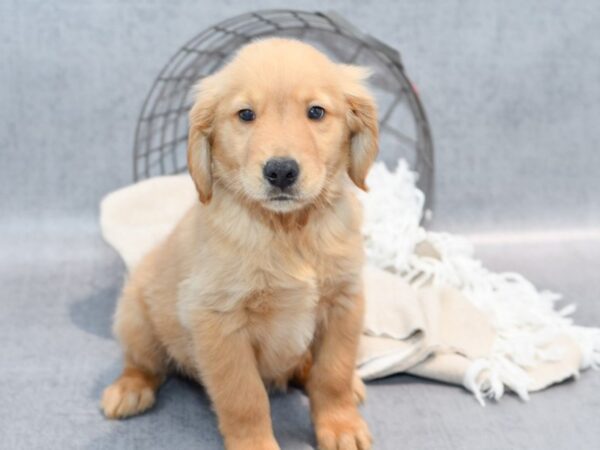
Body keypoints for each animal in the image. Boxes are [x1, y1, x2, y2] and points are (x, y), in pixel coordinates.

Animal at [101, 38, 378, 450]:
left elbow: (333, 373)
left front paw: (341, 425)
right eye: (245, 114)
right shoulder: (219, 320)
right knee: (143, 363)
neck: (286, 230)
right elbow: (244, 397)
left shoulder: (344, 302)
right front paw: (255, 444)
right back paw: (129, 389)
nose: (281, 171)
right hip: (135, 317)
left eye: (316, 112)